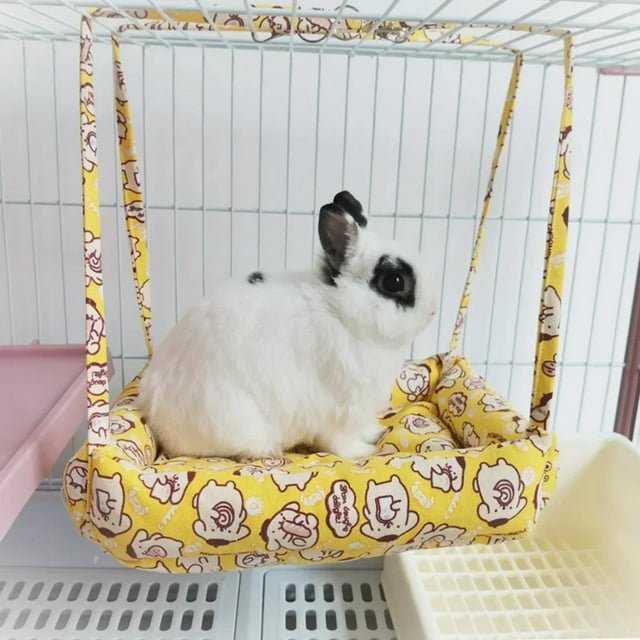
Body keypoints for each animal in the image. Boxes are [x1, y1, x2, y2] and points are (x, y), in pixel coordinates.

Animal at [137, 191, 437, 461]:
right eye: (394, 281)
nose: (432, 311)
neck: (341, 312)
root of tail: (155, 416)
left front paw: (374, 433)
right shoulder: (339, 412)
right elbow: (341, 443)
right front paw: (365, 452)